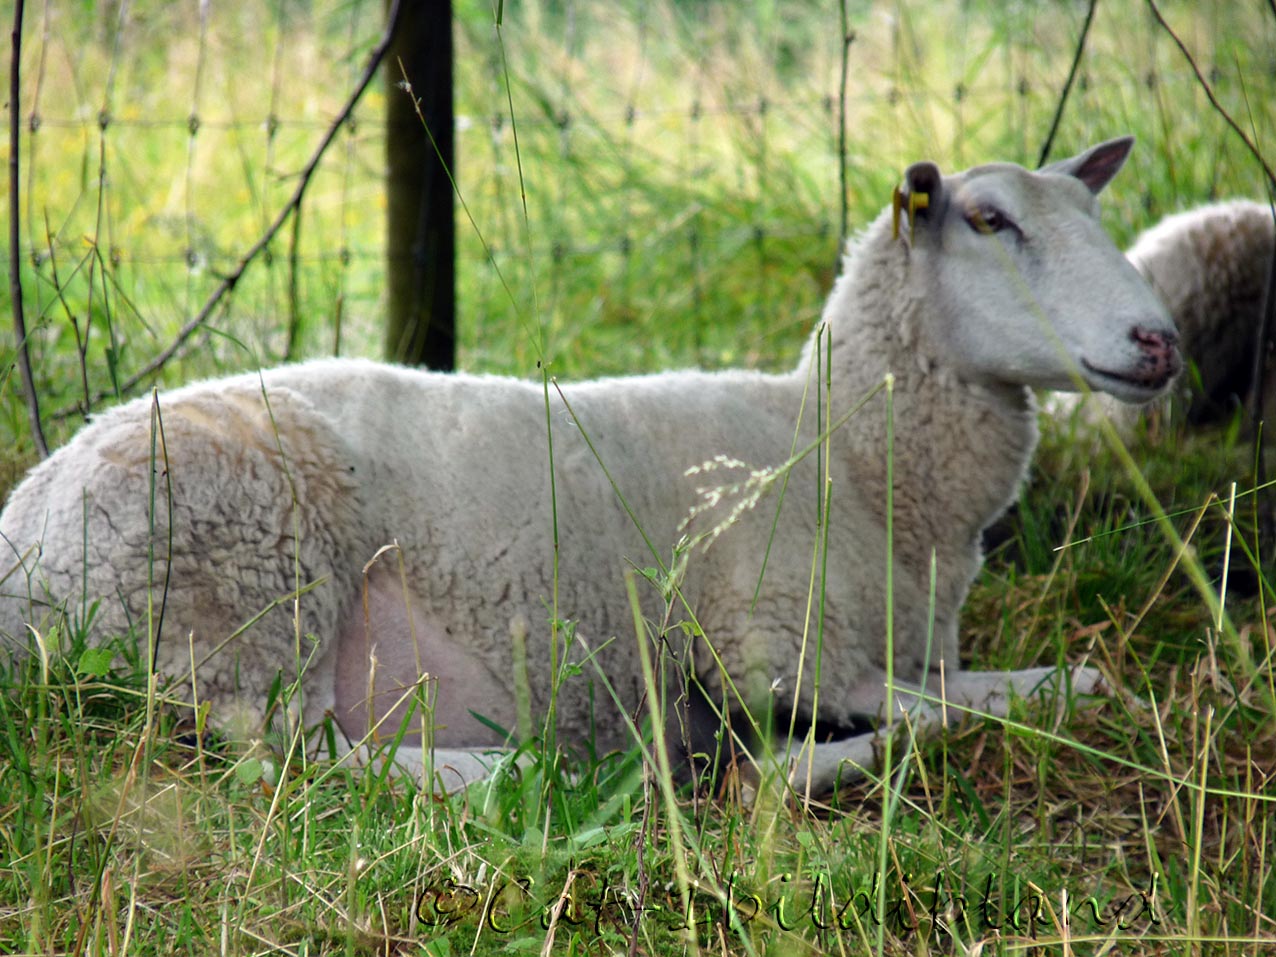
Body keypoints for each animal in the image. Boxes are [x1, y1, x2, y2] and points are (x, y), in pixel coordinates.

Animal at [0, 136, 1180, 796]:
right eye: (989, 219)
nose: (1160, 340)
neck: (844, 451)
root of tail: (22, 534)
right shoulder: (775, 652)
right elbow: (969, 708)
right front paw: (793, 759)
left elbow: (1054, 682)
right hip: (241, 589)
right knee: (290, 761)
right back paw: (538, 770)